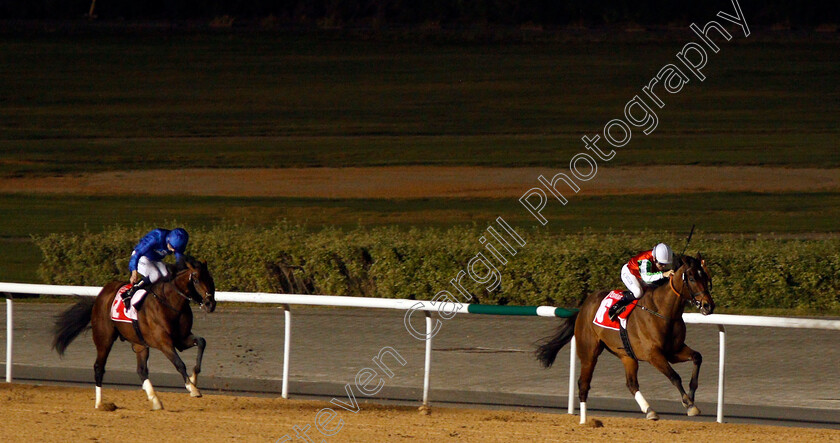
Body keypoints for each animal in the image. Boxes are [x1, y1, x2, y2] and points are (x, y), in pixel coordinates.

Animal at [52, 258, 217, 412]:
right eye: (196, 280)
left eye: (211, 279)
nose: (210, 304)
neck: (171, 303)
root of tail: (100, 296)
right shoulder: (164, 342)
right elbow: (179, 363)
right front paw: (192, 388)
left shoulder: (181, 339)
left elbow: (202, 342)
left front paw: (194, 378)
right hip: (104, 339)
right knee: (99, 367)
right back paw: (100, 404)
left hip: (139, 343)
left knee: (141, 370)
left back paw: (155, 401)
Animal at [540, 253, 716, 424]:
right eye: (692, 279)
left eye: (706, 277)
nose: (708, 305)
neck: (663, 312)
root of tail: (583, 308)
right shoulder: (654, 355)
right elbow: (675, 377)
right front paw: (689, 404)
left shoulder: (674, 351)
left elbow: (697, 357)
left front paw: (691, 397)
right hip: (589, 353)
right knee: (583, 384)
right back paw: (585, 421)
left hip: (627, 355)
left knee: (631, 383)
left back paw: (650, 410)